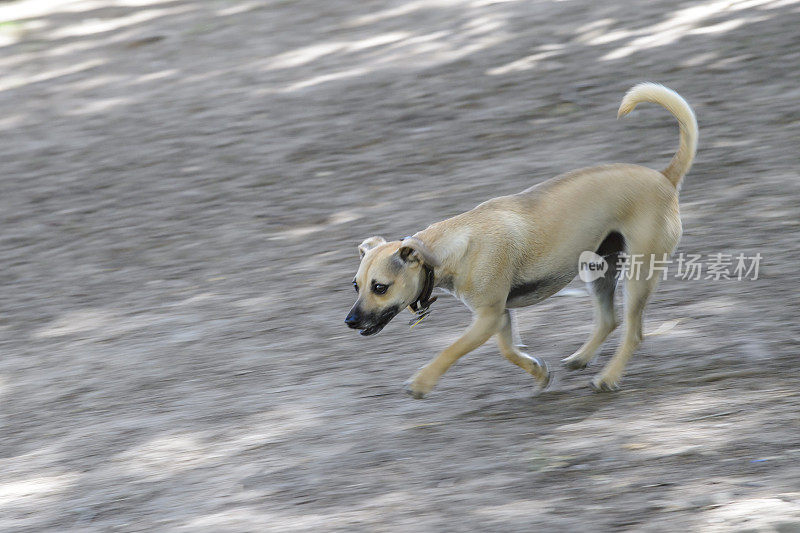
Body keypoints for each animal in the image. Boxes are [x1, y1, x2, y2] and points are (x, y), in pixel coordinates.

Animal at [344, 83, 692, 396]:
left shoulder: (487, 318)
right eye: (356, 286)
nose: (349, 321)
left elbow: (451, 350)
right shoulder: (500, 316)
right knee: (609, 321)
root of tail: (664, 177)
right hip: (599, 271)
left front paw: (421, 382)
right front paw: (538, 372)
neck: (451, 249)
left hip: (638, 275)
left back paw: (608, 377)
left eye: (380, 287)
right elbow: (508, 351)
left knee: (633, 332)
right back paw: (580, 358)